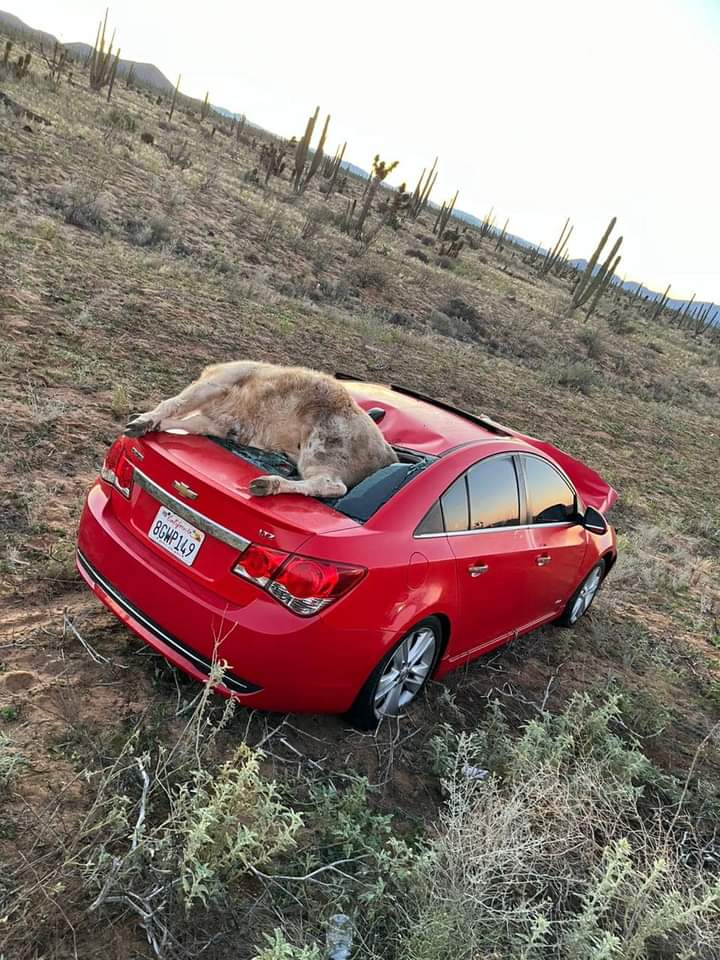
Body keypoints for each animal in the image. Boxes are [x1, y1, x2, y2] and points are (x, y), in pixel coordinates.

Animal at [122, 360, 394, 496]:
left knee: (332, 485)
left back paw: (268, 484)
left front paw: (141, 422)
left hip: (321, 449)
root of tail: (387, 453)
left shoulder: (215, 384)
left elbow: (174, 403)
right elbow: (186, 422)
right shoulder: (218, 423)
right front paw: (148, 422)